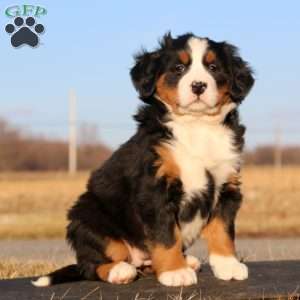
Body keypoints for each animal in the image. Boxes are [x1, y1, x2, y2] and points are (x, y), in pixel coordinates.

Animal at [32, 31, 253, 288]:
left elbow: (222, 230)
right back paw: (120, 270)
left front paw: (228, 265)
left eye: (213, 67)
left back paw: (185, 261)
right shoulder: (155, 187)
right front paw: (175, 271)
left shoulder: (227, 185)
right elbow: (166, 235)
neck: (196, 126)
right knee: (91, 265)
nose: (198, 85)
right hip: (87, 216)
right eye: (179, 68)